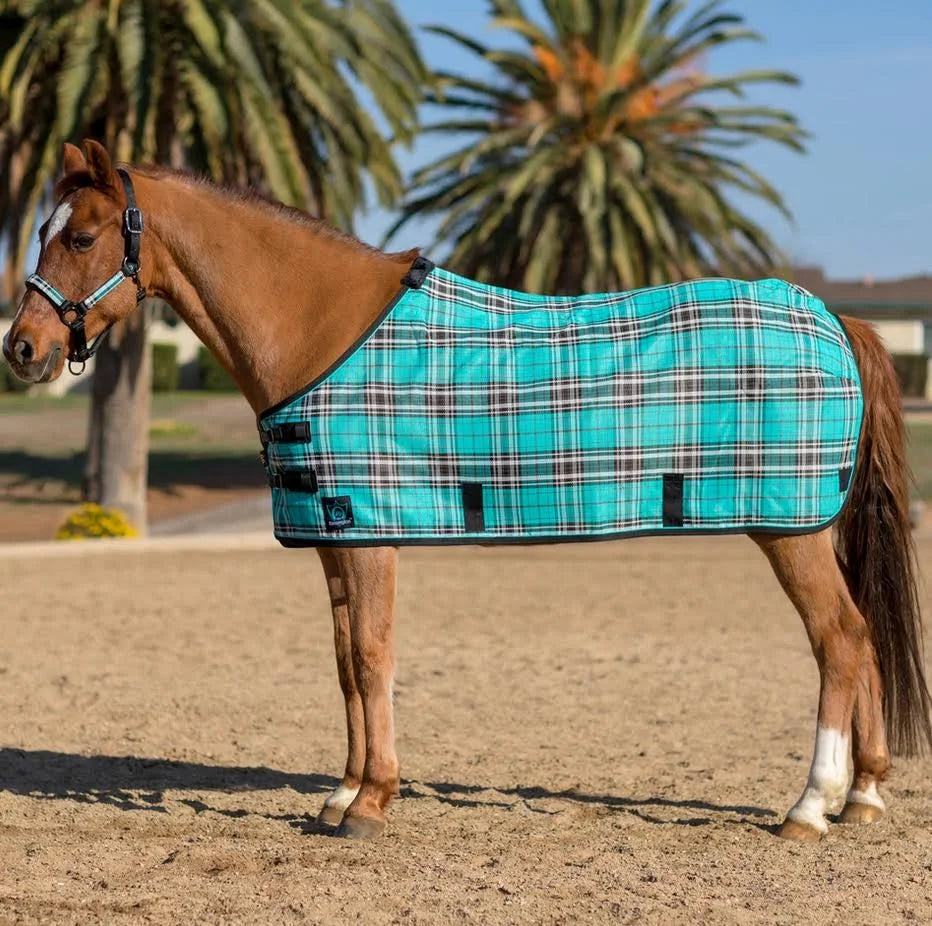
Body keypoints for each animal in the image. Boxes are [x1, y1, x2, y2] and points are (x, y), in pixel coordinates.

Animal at [4, 140, 930, 842]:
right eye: (43, 230)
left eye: (81, 238)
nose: (21, 350)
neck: (324, 330)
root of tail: (833, 317)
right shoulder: (335, 538)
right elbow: (343, 663)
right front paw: (341, 793)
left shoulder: (371, 536)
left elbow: (372, 656)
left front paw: (371, 803)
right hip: (814, 527)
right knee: (863, 638)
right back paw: (862, 796)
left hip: (788, 529)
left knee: (841, 638)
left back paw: (809, 807)